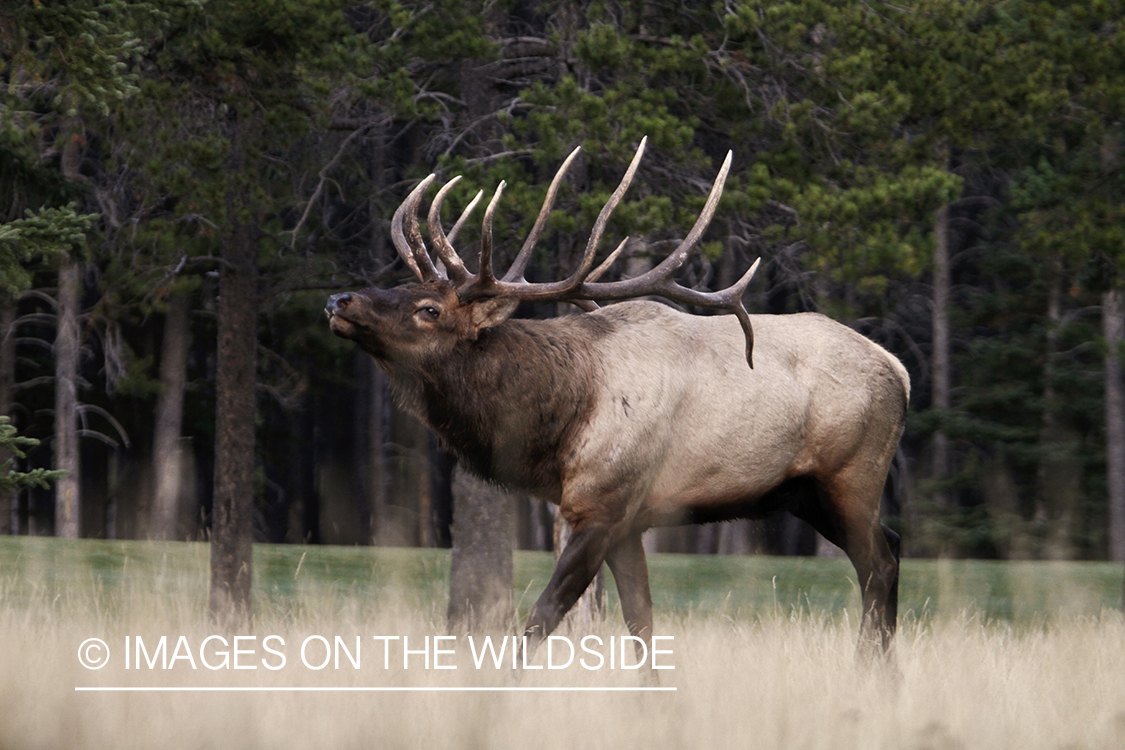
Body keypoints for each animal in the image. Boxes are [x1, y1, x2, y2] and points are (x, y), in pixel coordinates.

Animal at [325, 138, 908, 661]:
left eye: (429, 309)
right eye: (401, 285)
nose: (338, 299)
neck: (559, 424)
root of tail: (899, 371)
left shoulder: (602, 504)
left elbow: (543, 616)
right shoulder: (630, 521)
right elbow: (640, 623)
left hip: (852, 475)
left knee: (877, 564)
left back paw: (867, 671)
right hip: (805, 493)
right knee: (893, 547)